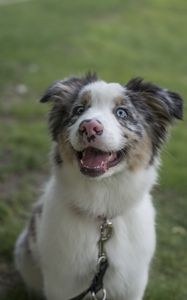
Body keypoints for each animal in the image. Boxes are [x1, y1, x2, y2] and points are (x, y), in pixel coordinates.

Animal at [14, 73, 183, 300]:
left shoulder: (133, 282)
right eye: (79, 110)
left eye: (122, 112)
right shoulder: (61, 282)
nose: (88, 127)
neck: (102, 206)